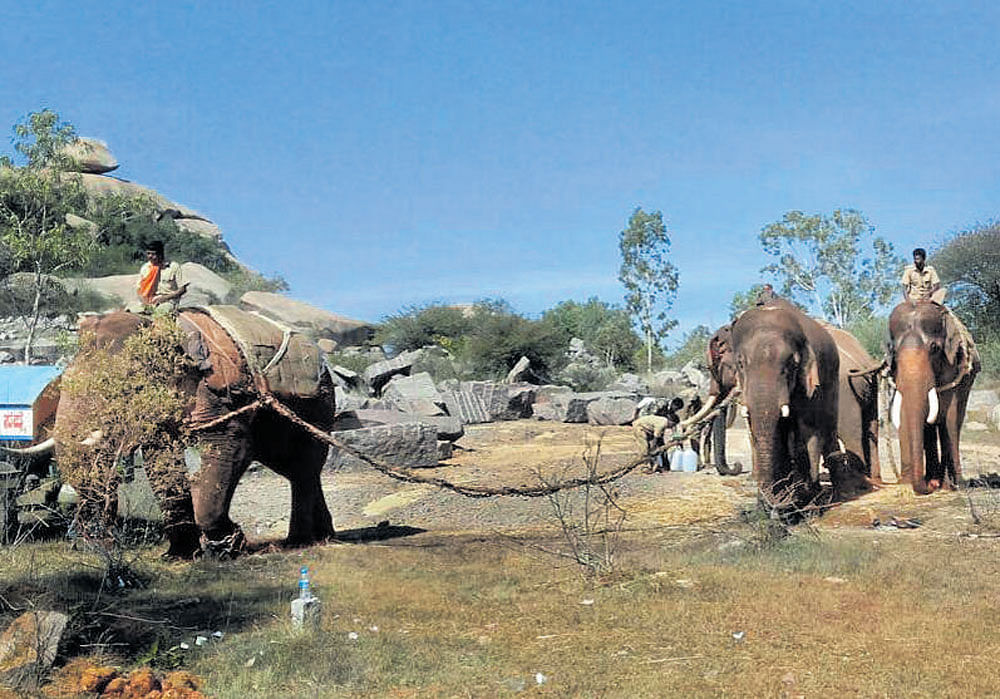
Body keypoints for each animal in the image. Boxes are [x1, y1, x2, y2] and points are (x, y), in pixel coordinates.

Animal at [51, 308, 340, 560]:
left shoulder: (216, 392)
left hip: (319, 405)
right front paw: (180, 555)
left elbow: (229, 445)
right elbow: (161, 459)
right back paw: (324, 535)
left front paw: (227, 546)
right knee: (291, 466)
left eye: (118, 383)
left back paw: (299, 541)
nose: (89, 543)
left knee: (304, 464)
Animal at [732, 304, 840, 504]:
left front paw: (806, 496)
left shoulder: (809, 386)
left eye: (792, 365)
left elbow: (807, 430)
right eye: (741, 364)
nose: (776, 502)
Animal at [888, 300, 980, 492]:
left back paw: (950, 482)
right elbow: (904, 413)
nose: (928, 487)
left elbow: (949, 417)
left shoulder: (952, 369)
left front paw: (951, 485)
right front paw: (906, 483)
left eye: (935, 348)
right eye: (894, 351)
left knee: (955, 422)